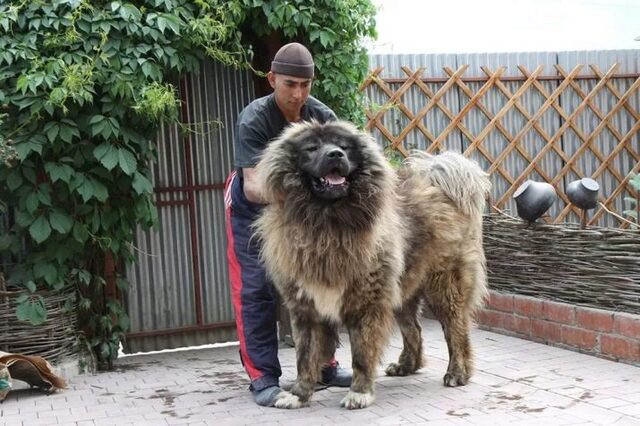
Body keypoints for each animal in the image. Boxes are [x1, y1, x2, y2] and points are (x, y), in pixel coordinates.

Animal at [254, 119, 490, 410]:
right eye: (312, 148)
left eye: (344, 147)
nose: (335, 155)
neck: (327, 223)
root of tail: (438, 182)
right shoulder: (305, 307)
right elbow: (304, 357)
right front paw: (299, 394)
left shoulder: (366, 302)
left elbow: (361, 354)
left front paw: (359, 392)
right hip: (402, 290)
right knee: (414, 329)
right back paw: (407, 365)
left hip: (444, 287)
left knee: (455, 329)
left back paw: (457, 372)